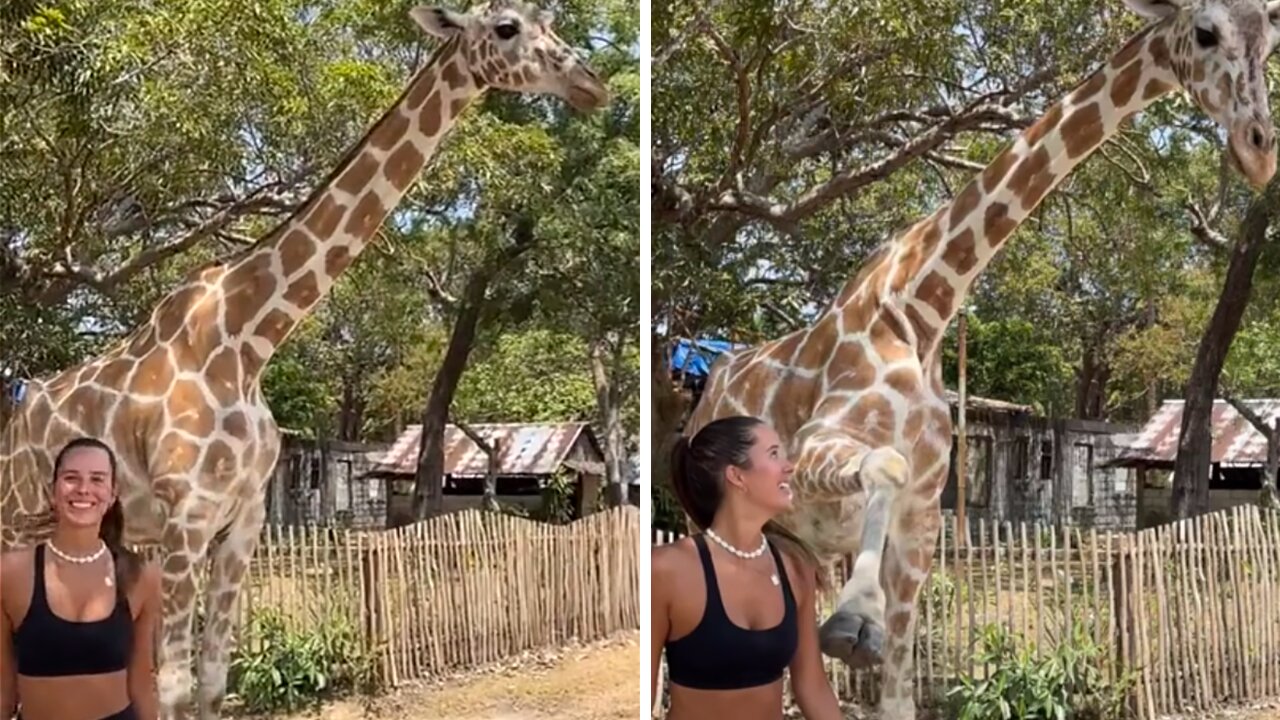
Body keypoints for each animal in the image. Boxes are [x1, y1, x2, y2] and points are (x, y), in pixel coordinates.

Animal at [0, 2, 609, 712]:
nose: (592, 84)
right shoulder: (186, 518)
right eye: (507, 26)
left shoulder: (242, 522)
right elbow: (174, 686)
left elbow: (212, 678)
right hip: (20, 516)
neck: (250, 340)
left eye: (551, 19)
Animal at [686, 1, 1280, 717]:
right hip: (711, 516)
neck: (923, 305)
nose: (1259, 147)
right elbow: (883, 462)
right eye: (1204, 32)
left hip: (796, 541)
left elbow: (898, 697)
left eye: (1272, 43)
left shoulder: (920, 519)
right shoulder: (813, 446)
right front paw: (855, 618)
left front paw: (862, 628)